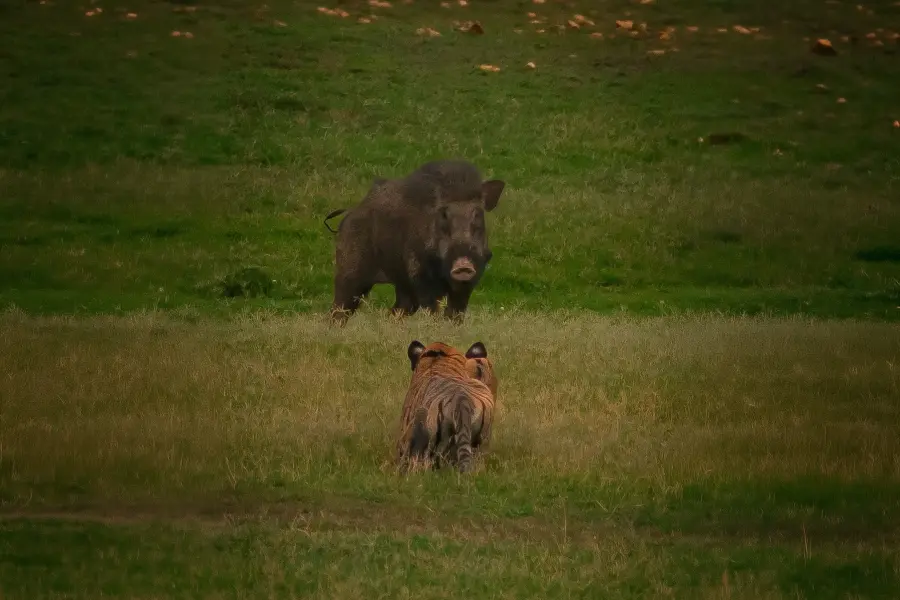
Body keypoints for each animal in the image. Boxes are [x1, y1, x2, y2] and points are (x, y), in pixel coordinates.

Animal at [323, 159, 505, 325]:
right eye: (444, 215)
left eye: (477, 215)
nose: (463, 265)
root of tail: (349, 213)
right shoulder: (420, 275)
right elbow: (432, 310)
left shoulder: (470, 281)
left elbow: (456, 313)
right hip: (349, 271)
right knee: (339, 308)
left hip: (402, 286)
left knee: (397, 311)